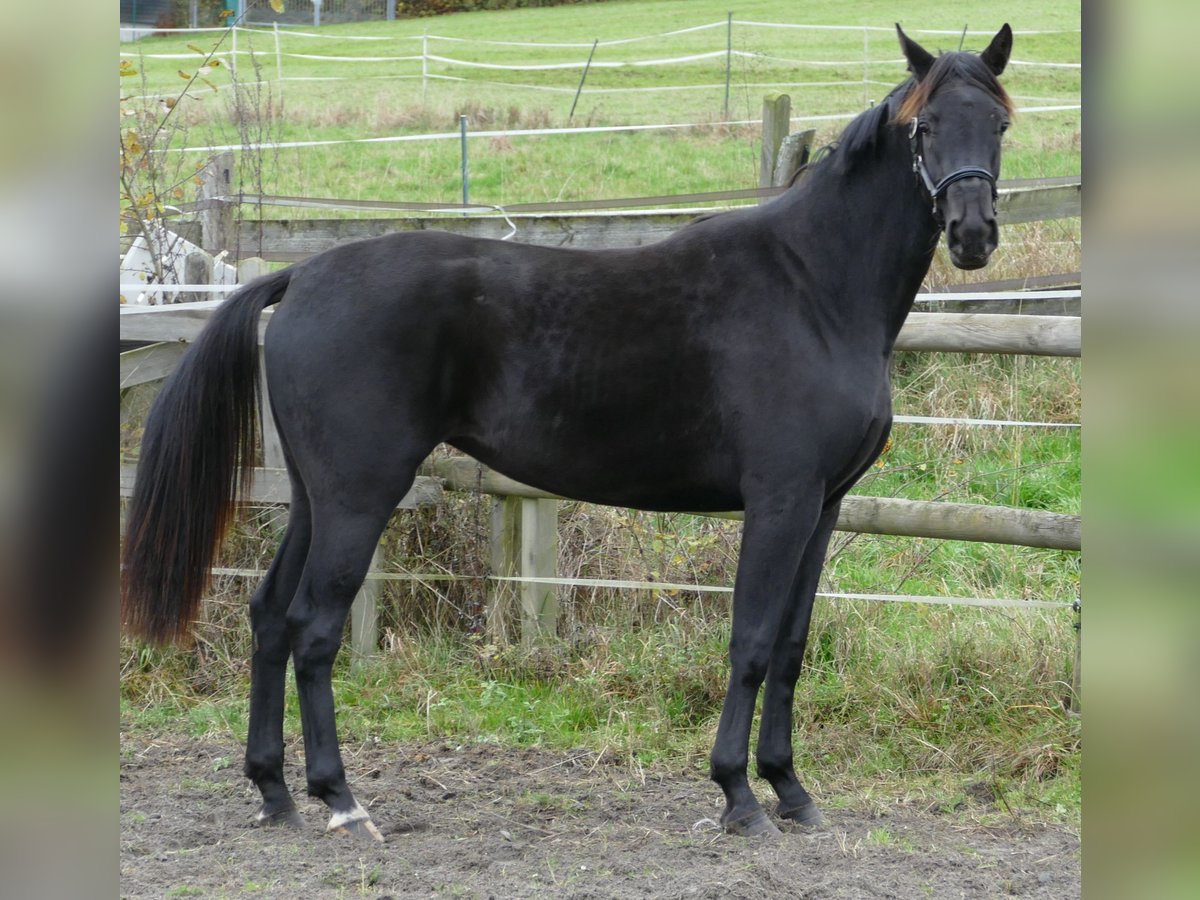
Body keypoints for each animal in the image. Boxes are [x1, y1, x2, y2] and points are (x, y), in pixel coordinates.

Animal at [126, 26, 1012, 844]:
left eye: (1000, 123)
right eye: (925, 126)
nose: (973, 234)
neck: (812, 287)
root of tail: (303, 276)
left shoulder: (823, 508)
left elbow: (791, 646)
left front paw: (790, 790)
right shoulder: (780, 502)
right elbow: (753, 642)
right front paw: (738, 795)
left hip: (315, 499)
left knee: (271, 617)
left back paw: (275, 793)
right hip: (357, 497)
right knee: (313, 628)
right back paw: (341, 800)